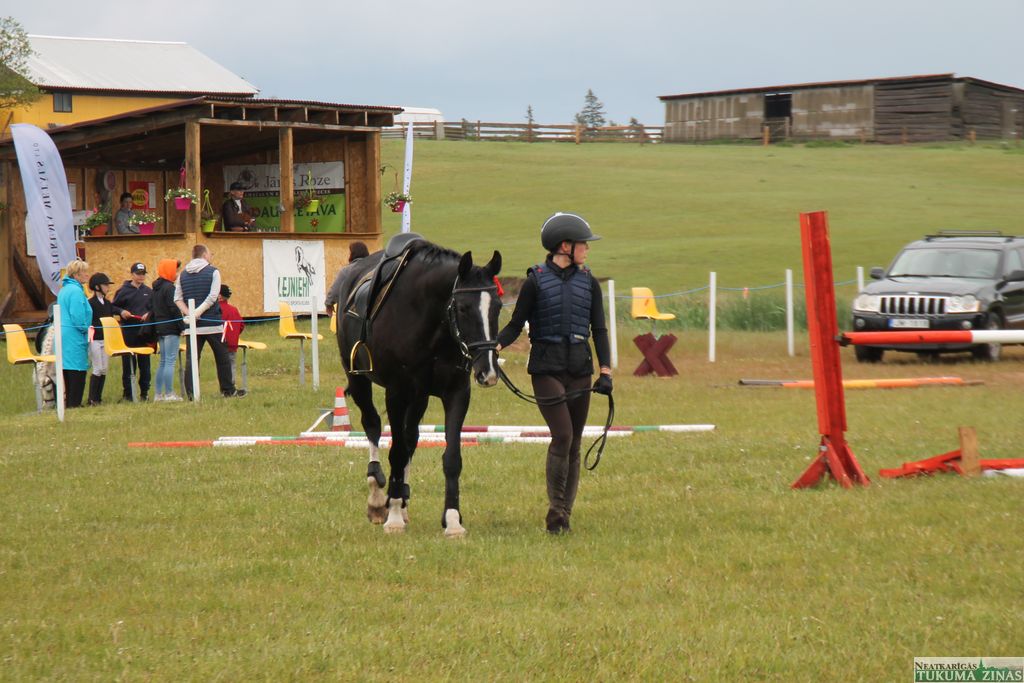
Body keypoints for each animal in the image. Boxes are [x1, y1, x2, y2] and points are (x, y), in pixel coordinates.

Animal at [335, 239, 502, 537]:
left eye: (498, 306)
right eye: (462, 308)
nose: (488, 372)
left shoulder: (456, 393)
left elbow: (450, 457)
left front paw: (452, 520)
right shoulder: (397, 393)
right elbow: (397, 451)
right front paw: (392, 516)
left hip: (419, 398)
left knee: (411, 436)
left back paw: (400, 500)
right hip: (359, 379)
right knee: (373, 425)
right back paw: (378, 499)